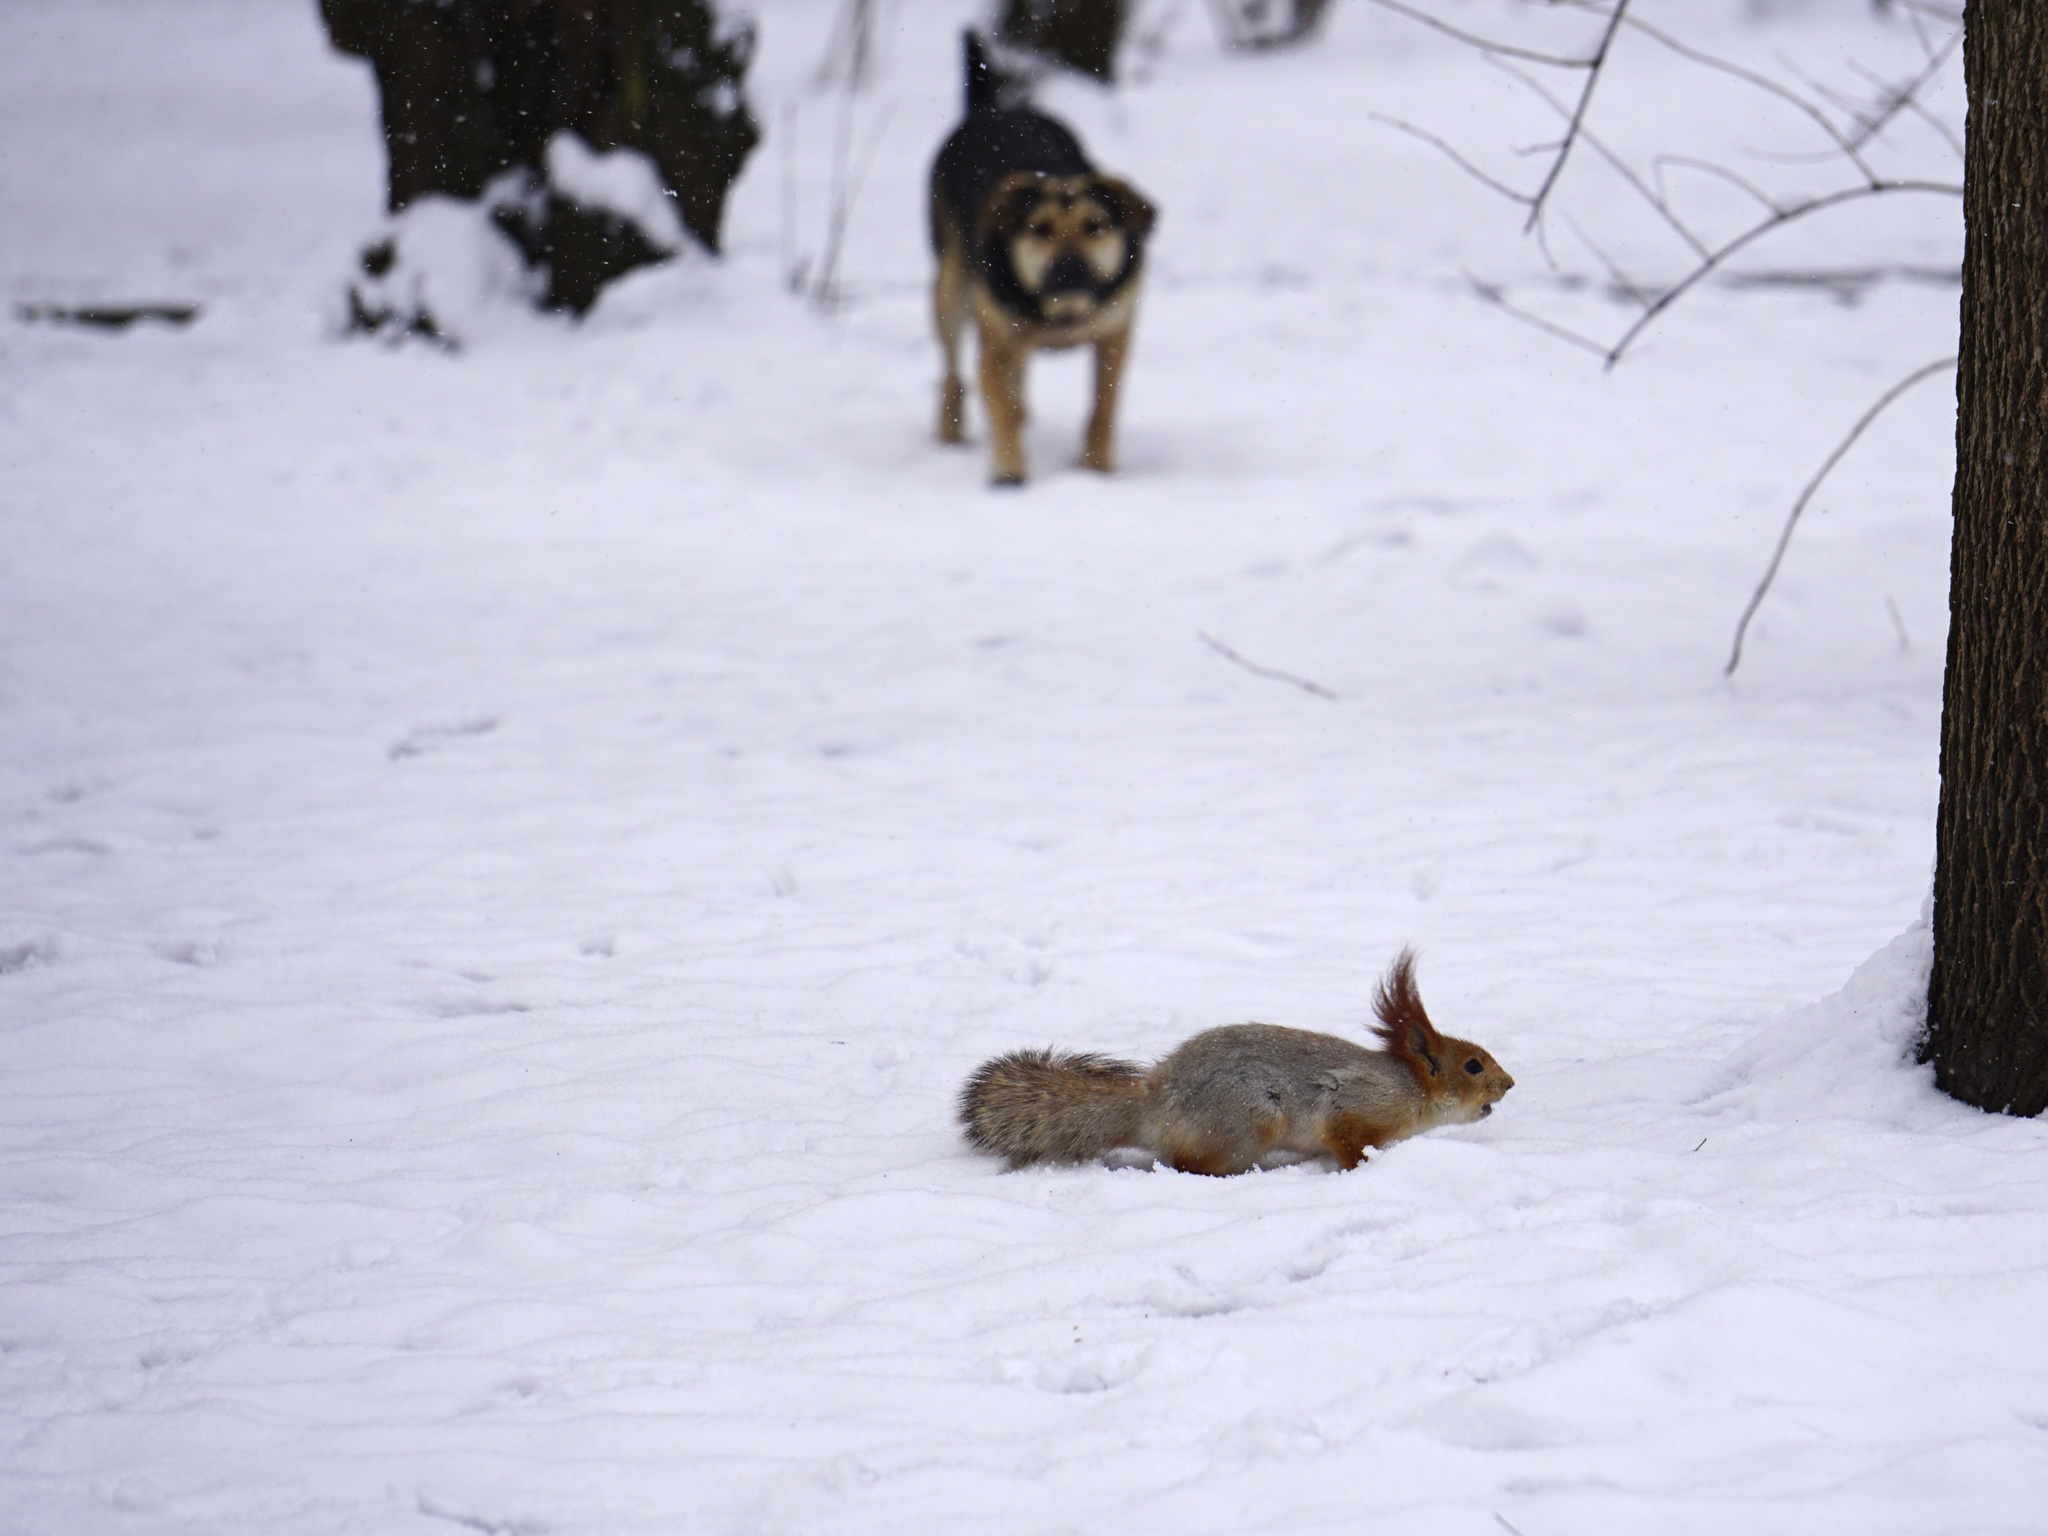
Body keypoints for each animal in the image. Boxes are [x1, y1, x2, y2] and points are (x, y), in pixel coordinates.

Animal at [929, 33, 1155, 483]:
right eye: (1040, 228)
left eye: (1095, 226)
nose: (1069, 267)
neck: (1063, 311)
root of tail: (990, 111)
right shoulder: (997, 337)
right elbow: (998, 401)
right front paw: (1009, 472)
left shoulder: (1115, 332)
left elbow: (1103, 406)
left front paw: (1098, 469)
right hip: (951, 289)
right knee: (953, 372)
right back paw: (950, 433)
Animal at [954, 950, 1507, 1179]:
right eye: (1473, 1066)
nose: (1510, 1084)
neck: (1411, 1089)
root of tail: (1155, 1103)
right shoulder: (1360, 1104)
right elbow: (1347, 1140)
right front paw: (1364, 1169)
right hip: (1248, 1120)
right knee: (1185, 1164)